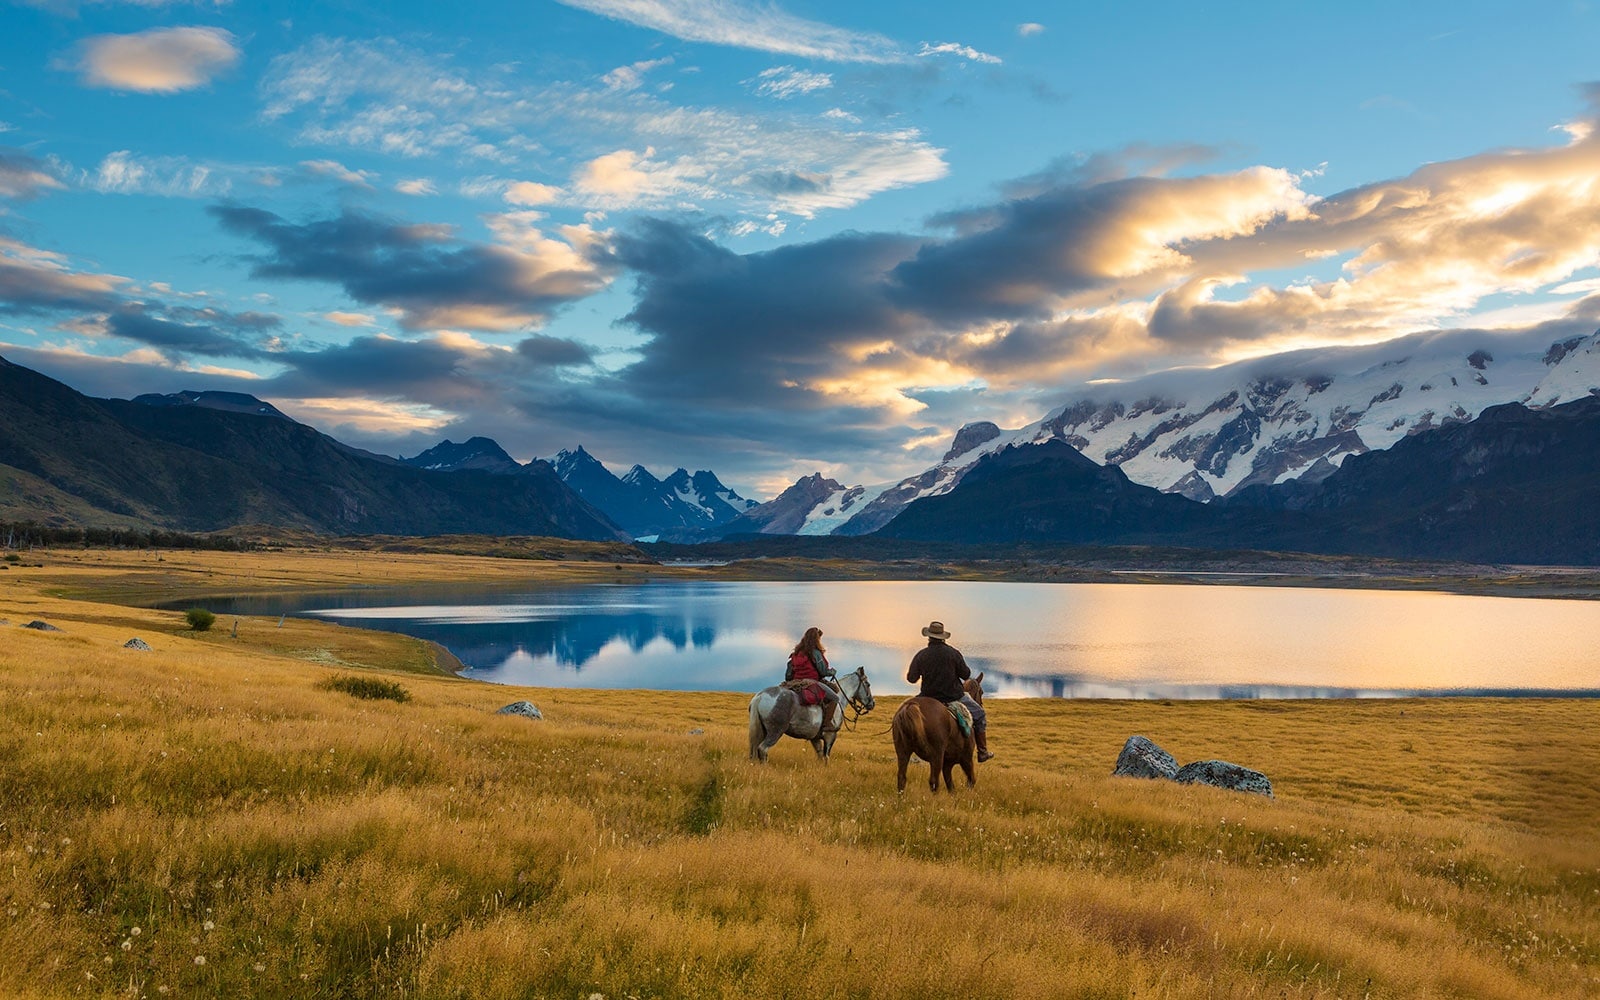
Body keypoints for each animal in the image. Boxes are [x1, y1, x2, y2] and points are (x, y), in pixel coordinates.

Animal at [745, 665, 876, 761]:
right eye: (868, 684)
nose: (872, 703)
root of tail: (760, 696)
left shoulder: (815, 738)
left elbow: (820, 756)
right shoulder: (830, 736)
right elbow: (826, 757)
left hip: (763, 731)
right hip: (775, 731)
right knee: (763, 749)